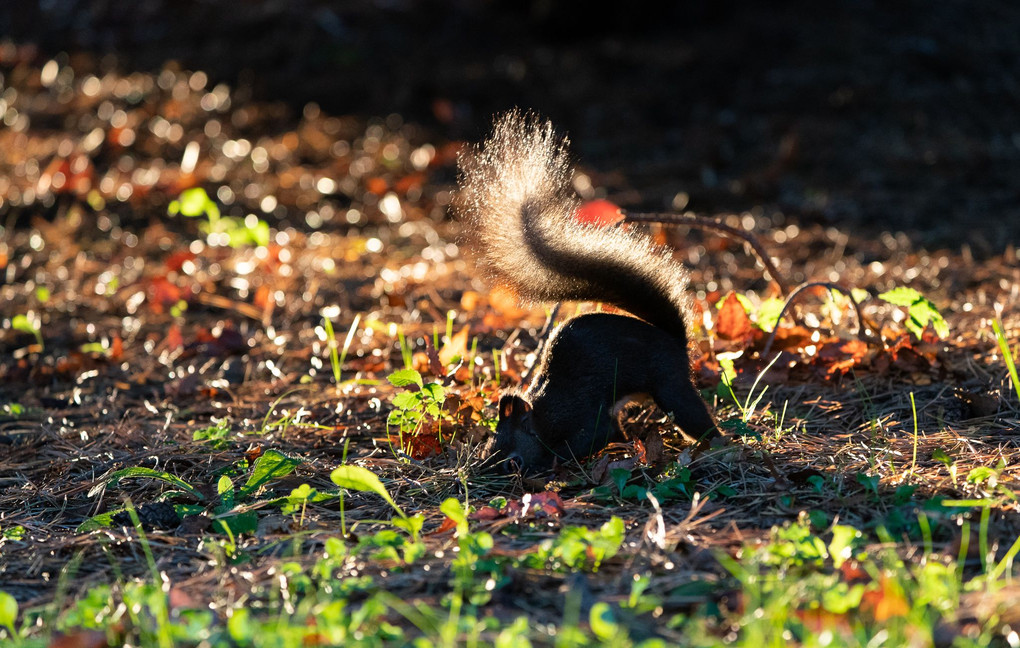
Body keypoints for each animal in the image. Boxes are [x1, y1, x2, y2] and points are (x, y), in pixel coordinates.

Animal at [454, 112, 718, 477]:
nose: (479, 470)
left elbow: (598, 435)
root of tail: (673, 340)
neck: (543, 419)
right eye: (487, 448)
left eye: (511, 459)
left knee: (694, 415)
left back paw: (719, 444)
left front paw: (557, 460)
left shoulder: (583, 416)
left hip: (669, 383)